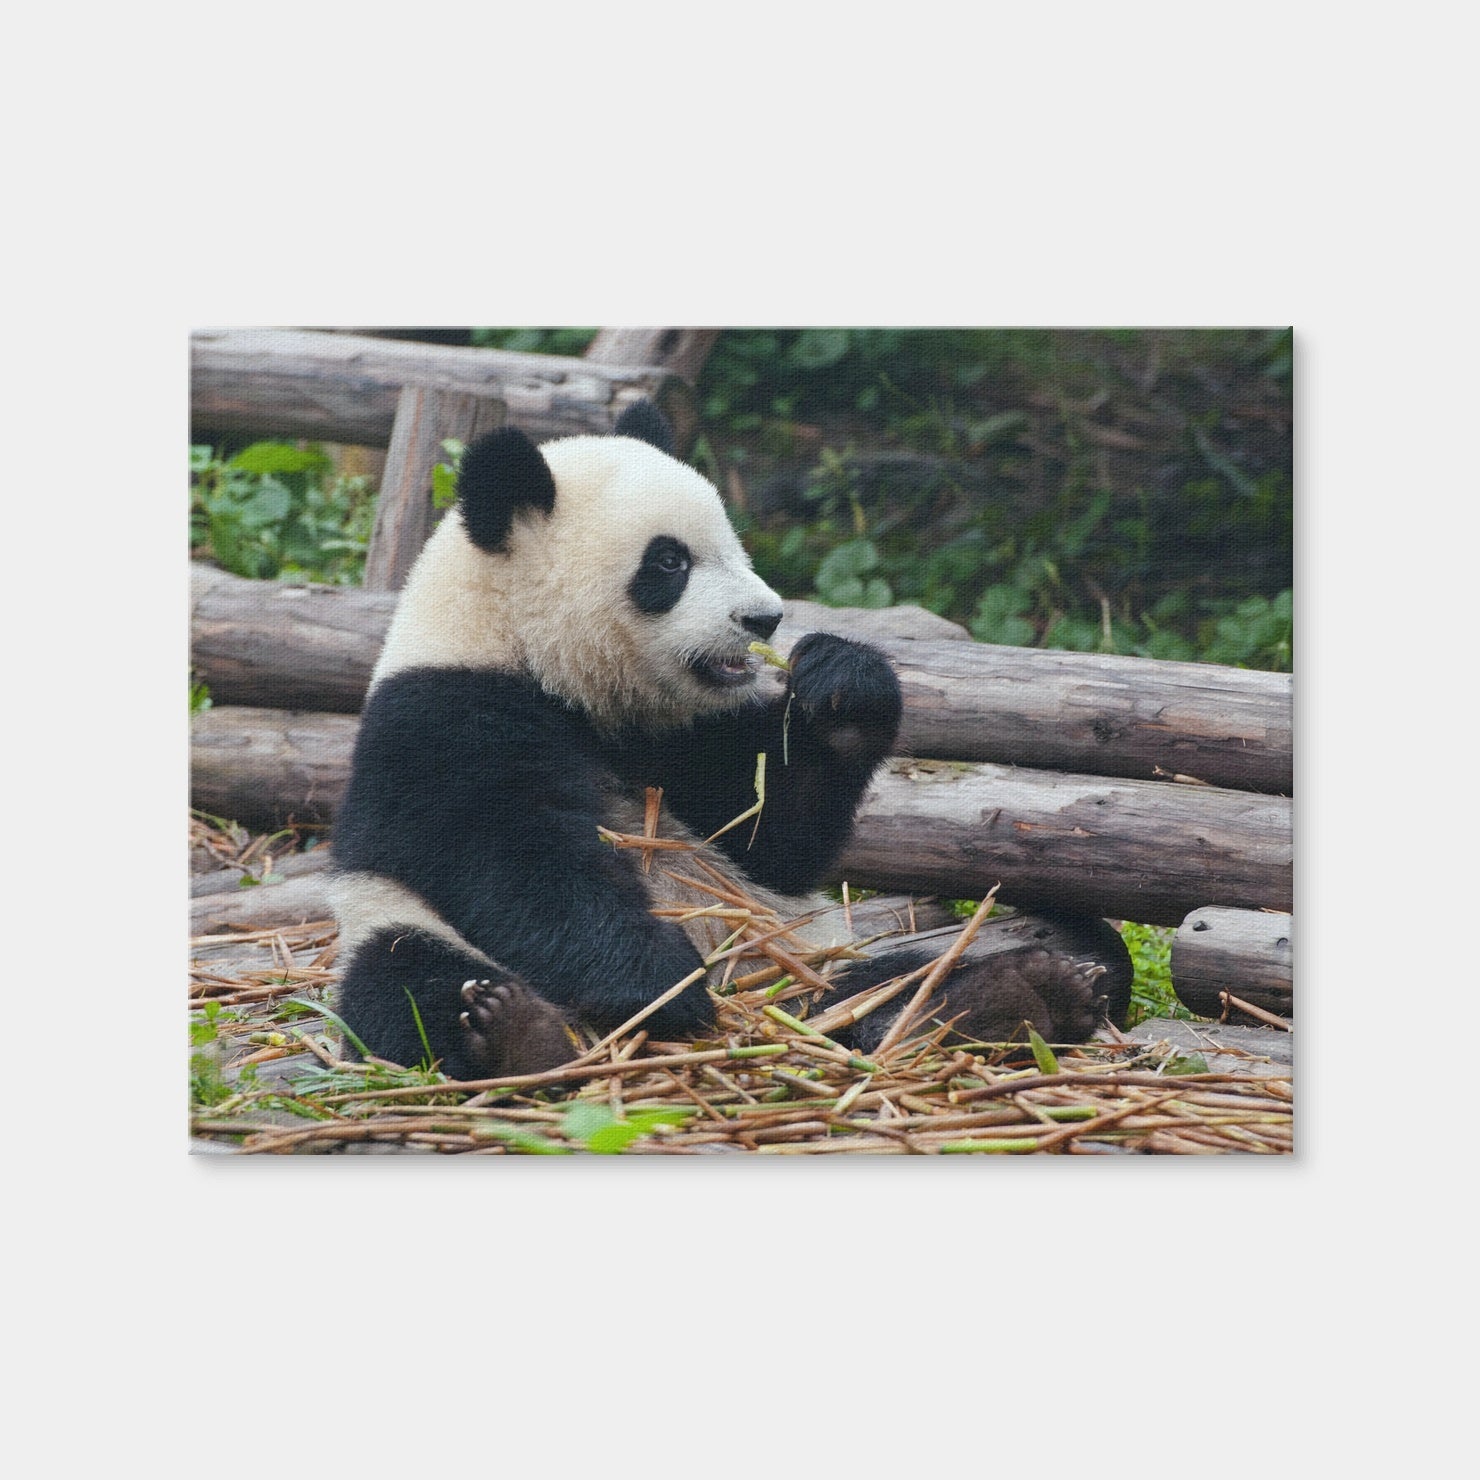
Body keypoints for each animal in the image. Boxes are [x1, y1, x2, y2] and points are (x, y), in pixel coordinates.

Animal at [330, 401, 1116, 1079]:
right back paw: (515, 1033)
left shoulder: (677, 734)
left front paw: (844, 688)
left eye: (732, 544)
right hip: (390, 923)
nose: (764, 619)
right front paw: (658, 982)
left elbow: (769, 834)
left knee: (903, 974)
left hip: (805, 951)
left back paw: (1005, 997)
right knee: (407, 978)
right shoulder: (442, 715)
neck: (540, 660)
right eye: (669, 562)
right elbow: (510, 855)